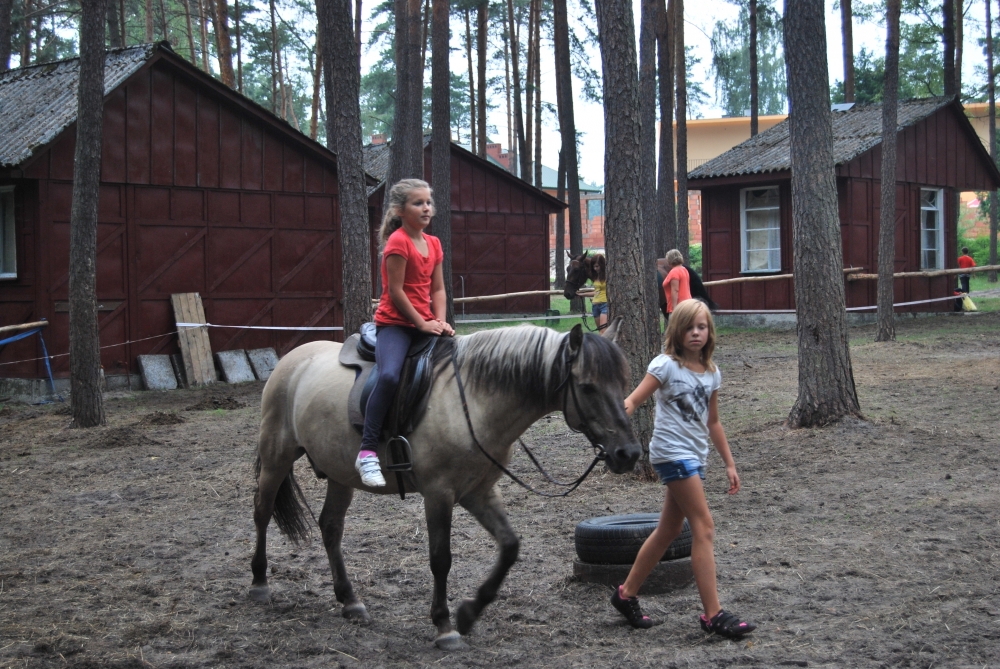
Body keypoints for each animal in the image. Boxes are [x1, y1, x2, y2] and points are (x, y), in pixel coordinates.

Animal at [251, 321, 642, 650]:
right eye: (588, 387)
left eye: (622, 383)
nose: (628, 453)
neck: (472, 400)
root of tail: (291, 360)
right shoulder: (438, 494)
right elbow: (441, 558)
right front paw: (444, 625)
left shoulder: (478, 492)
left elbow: (510, 546)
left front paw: (469, 612)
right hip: (276, 458)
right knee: (262, 512)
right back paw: (259, 583)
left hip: (339, 474)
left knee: (330, 527)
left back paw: (350, 601)